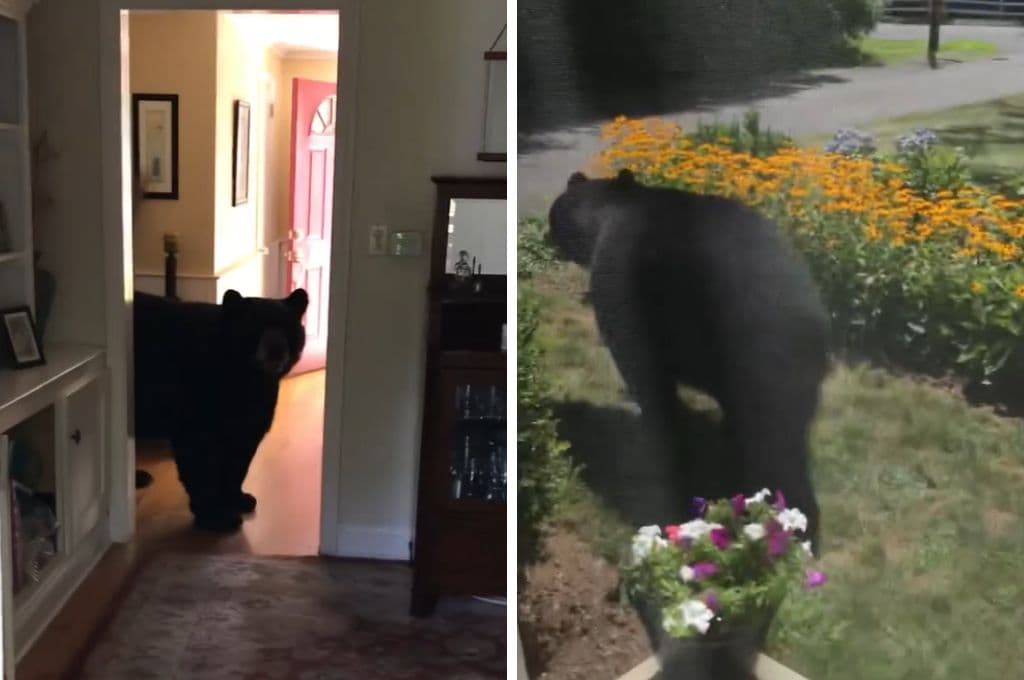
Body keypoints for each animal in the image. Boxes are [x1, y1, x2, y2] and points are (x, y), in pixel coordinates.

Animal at [133, 288, 308, 532]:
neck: (246, 376)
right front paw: (217, 517)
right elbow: (199, 461)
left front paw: (238, 498)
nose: (275, 348)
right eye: (254, 326)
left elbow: (239, 460)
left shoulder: (253, 413)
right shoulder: (195, 411)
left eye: (286, 326)